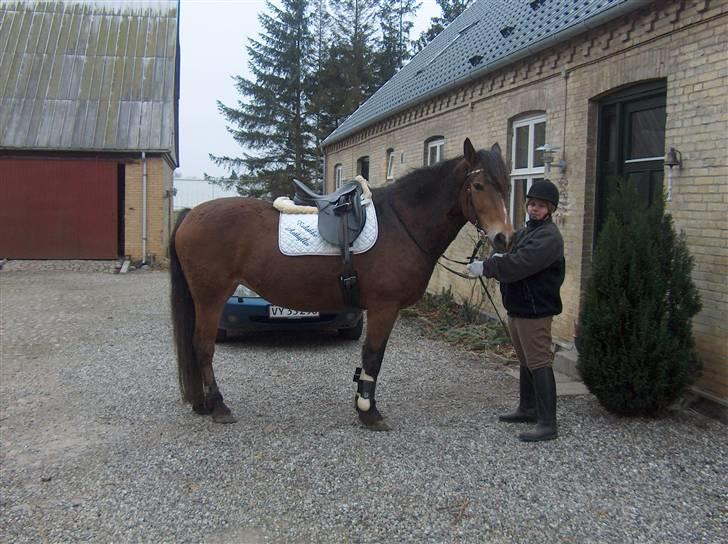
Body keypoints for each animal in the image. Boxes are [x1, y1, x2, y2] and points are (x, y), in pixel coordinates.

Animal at [170, 138, 513, 428]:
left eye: (507, 185)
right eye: (478, 185)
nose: (503, 238)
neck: (401, 223)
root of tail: (191, 215)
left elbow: (373, 356)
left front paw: (363, 405)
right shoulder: (384, 307)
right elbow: (373, 355)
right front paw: (368, 412)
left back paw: (203, 403)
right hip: (211, 297)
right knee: (203, 347)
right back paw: (218, 406)